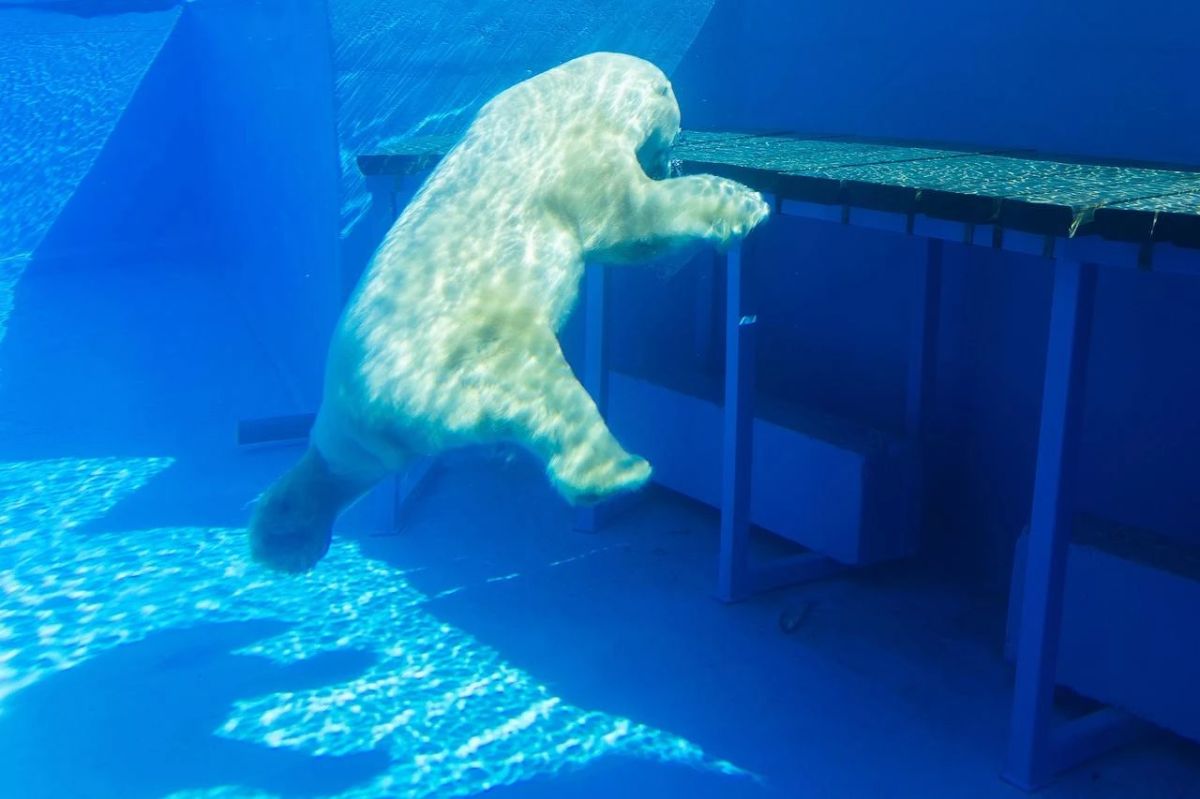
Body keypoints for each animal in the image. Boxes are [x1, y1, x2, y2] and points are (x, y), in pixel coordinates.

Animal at [250, 51, 770, 573]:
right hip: (484, 351)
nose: (666, 161)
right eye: (673, 121)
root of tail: (376, 405)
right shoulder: (581, 151)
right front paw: (746, 202)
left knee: (340, 464)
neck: (580, 91)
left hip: (354, 428)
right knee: (553, 398)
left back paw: (283, 534)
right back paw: (619, 470)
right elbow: (628, 219)